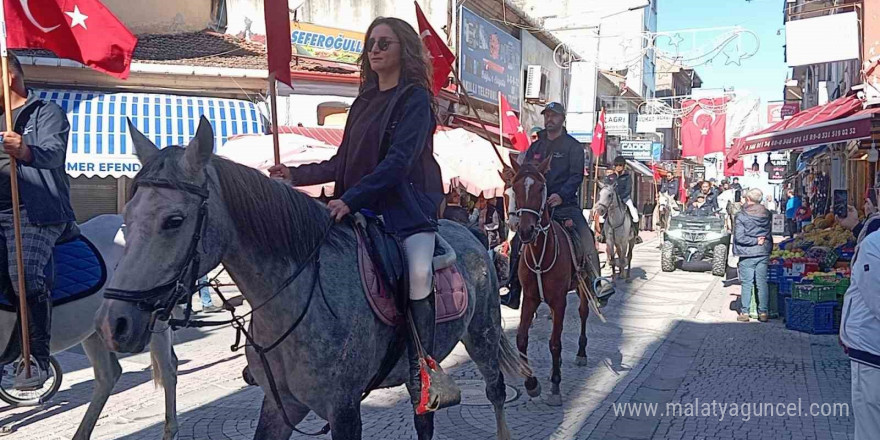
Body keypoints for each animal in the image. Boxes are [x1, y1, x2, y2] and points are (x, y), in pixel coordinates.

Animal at [94, 118, 528, 440]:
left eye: (174, 220)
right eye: (128, 216)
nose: (116, 323)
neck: (298, 300)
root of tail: (468, 233)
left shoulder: (344, 410)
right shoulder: (280, 406)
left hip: (483, 336)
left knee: (495, 393)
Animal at [508, 157, 592, 406]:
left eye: (539, 188)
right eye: (515, 188)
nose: (525, 230)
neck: (540, 252)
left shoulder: (559, 300)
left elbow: (555, 343)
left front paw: (555, 386)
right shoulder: (530, 298)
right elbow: (521, 338)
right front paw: (531, 383)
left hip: (583, 287)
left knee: (583, 313)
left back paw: (581, 353)